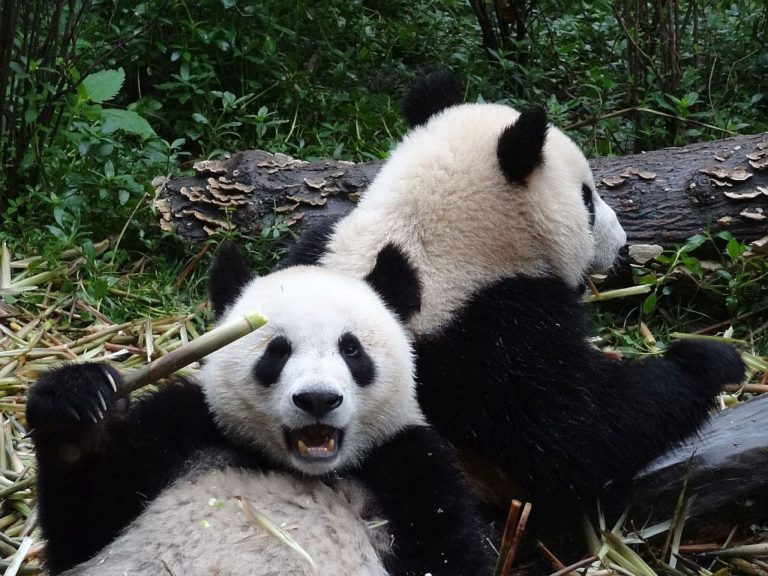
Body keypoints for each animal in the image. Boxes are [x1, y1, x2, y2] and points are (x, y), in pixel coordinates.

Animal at [27, 251, 493, 575]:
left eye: (351, 349)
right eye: (277, 351)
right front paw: (77, 411)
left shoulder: (411, 466)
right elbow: (84, 527)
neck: (307, 471)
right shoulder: (184, 433)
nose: (318, 399)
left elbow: (450, 554)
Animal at [282, 72, 746, 530]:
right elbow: (581, 434)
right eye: (586, 198)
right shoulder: (488, 333)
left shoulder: (314, 253)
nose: (623, 245)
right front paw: (713, 360)